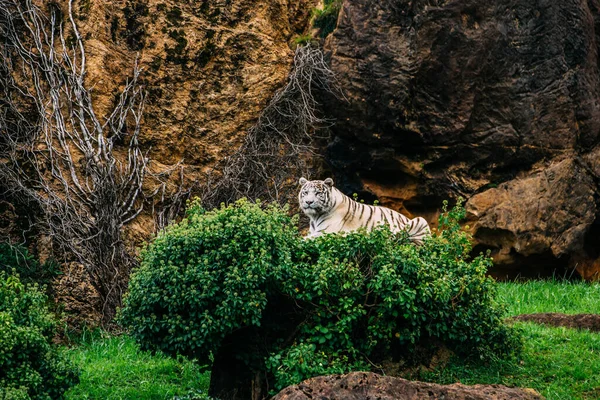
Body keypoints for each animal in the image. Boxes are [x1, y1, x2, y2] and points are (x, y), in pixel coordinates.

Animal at [298, 177, 432, 245]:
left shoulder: (326, 232)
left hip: (421, 220)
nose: (308, 202)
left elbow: (303, 239)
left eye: (317, 193)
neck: (315, 217)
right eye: (306, 192)